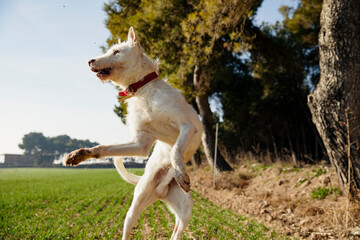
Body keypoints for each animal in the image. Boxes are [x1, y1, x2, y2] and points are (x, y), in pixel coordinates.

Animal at [64, 27, 202, 239]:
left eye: (116, 52)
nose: (90, 61)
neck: (144, 90)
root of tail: (160, 191)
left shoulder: (187, 126)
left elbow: (175, 150)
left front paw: (180, 173)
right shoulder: (141, 143)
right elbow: (104, 148)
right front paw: (80, 154)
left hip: (185, 210)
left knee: (175, 233)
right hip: (135, 207)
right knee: (128, 228)